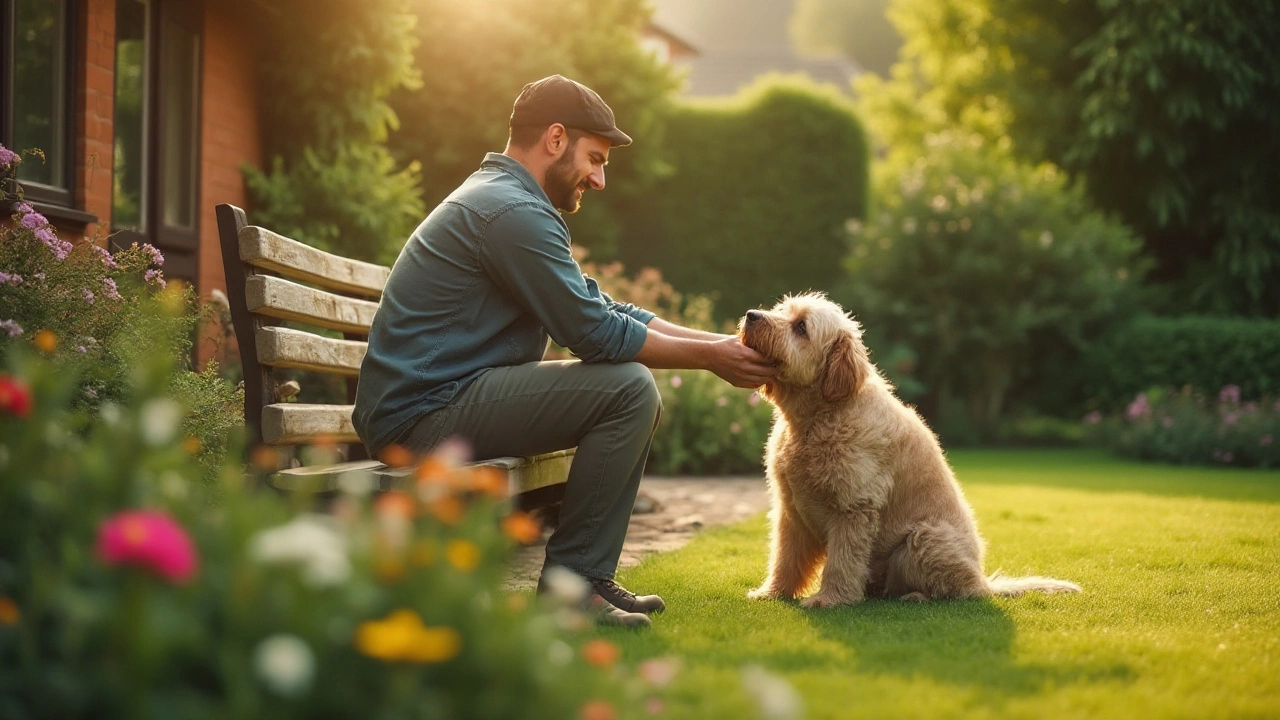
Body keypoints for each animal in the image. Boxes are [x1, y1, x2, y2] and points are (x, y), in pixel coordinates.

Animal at [742, 292, 1080, 604]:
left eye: (801, 327)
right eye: (781, 310)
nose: (751, 315)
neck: (817, 419)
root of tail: (983, 580)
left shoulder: (853, 508)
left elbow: (842, 561)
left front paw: (830, 600)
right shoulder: (791, 511)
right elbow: (784, 558)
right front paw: (771, 593)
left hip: (924, 538)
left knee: (959, 592)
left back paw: (917, 597)